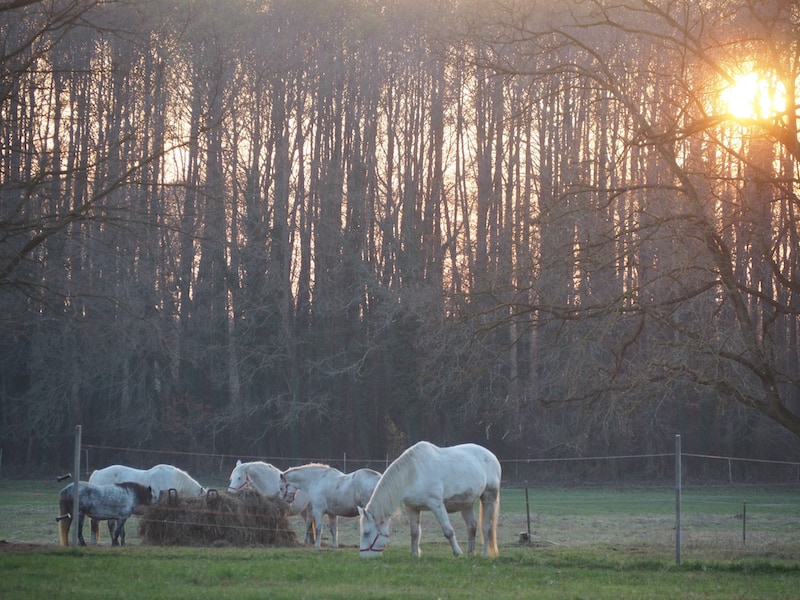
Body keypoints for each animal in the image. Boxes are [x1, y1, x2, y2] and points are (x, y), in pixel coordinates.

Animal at [358, 440, 500, 556]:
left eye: (366, 533)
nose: (364, 557)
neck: (413, 474)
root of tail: (491, 455)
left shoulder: (436, 504)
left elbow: (448, 531)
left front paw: (457, 553)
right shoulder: (411, 508)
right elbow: (414, 532)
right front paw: (414, 554)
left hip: (489, 497)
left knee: (486, 527)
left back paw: (485, 554)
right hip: (466, 504)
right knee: (471, 526)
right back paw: (470, 554)